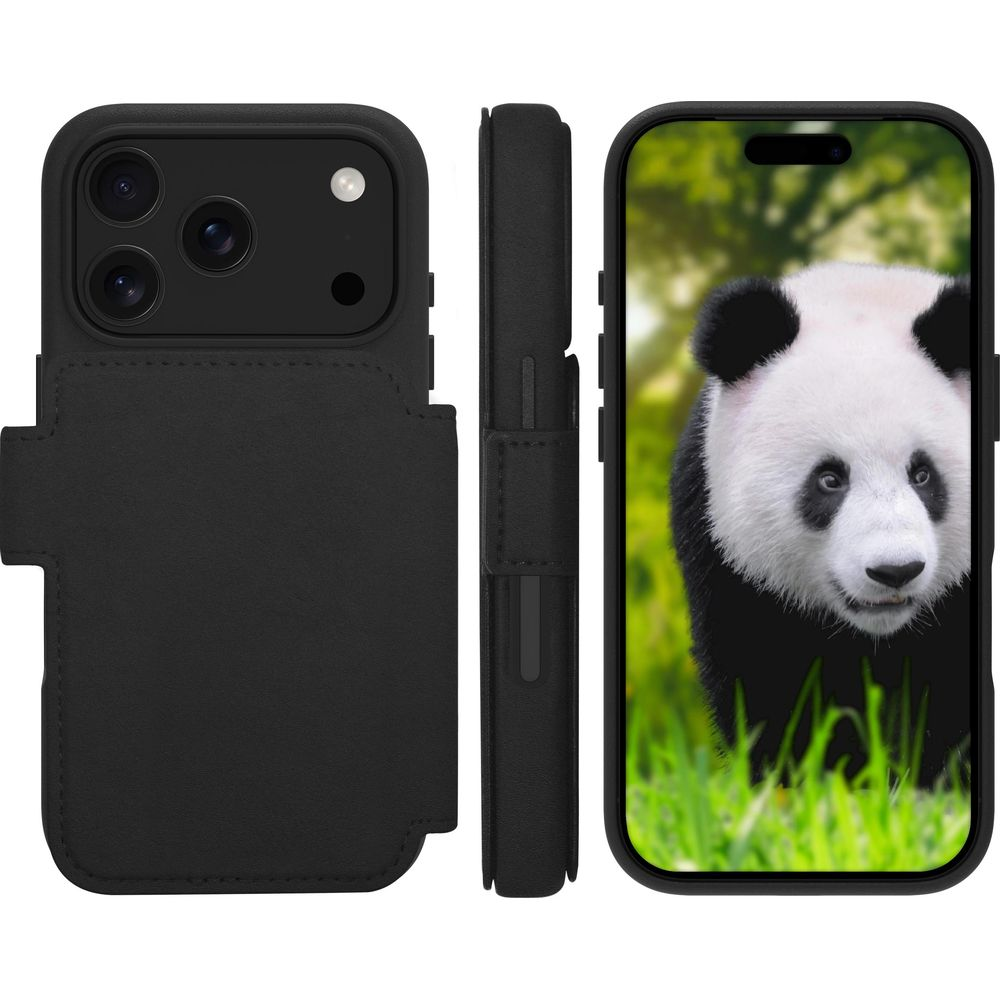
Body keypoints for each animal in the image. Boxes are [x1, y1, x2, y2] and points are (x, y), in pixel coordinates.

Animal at [671, 262, 972, 786]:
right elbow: (768, 681)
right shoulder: (724, 551)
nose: (895, 571)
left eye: (922, 474)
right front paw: (813, 781)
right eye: (830, 479)